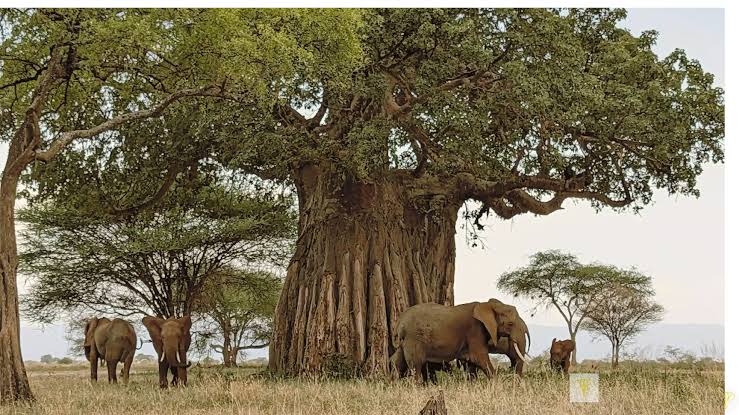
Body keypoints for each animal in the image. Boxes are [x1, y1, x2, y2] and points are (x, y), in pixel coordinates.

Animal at [390, 298, 522, 382]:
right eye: (510, 324)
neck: (487, 305)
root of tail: (400, 320)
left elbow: (471, 362)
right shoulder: (475, 330)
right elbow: (479, 358)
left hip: (404, 341)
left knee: (398, 363)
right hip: (414, 338)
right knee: (416, 365)